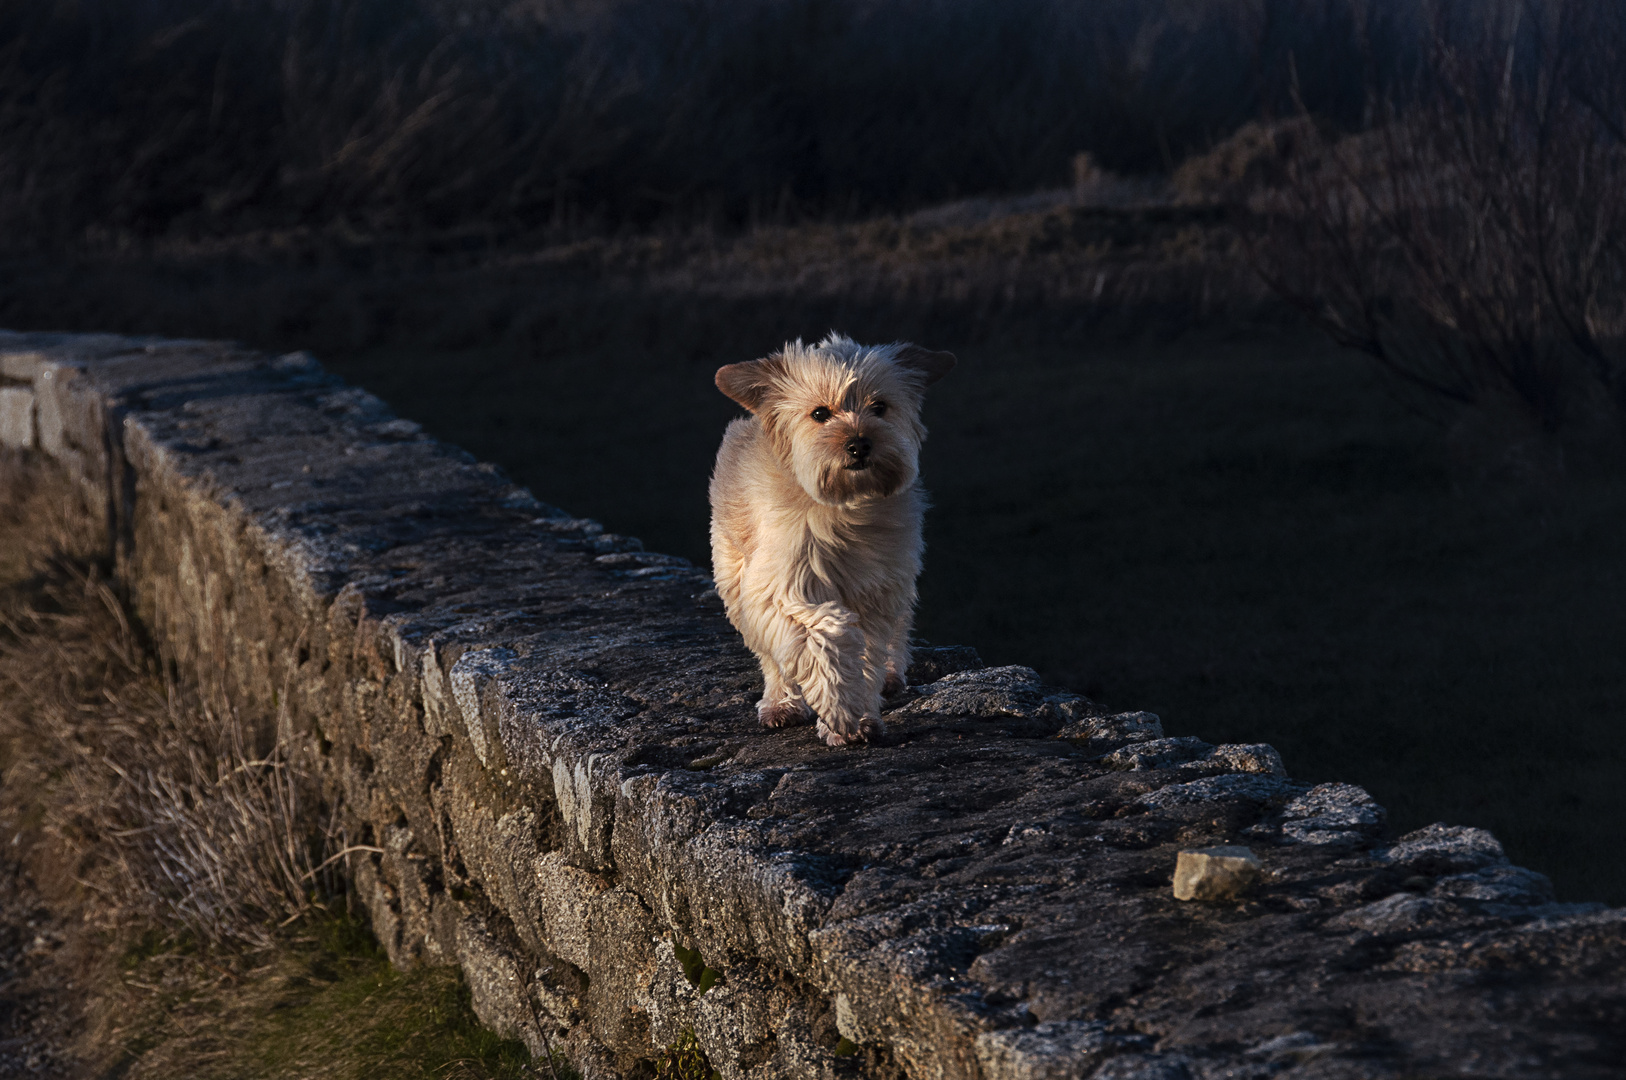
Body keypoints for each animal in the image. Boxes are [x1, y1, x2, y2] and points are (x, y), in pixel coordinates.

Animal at [708, 333, 949, 748]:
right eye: (820, 413)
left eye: (879, 407)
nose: (859, 444)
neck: (848, 507)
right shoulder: (782, 587)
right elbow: (823, 634)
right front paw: (841, 711)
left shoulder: (878, 587)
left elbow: (868, 651)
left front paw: (858, 713)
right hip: (734, 577)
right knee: (771, 656)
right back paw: (781, 703)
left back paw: (890, 675)